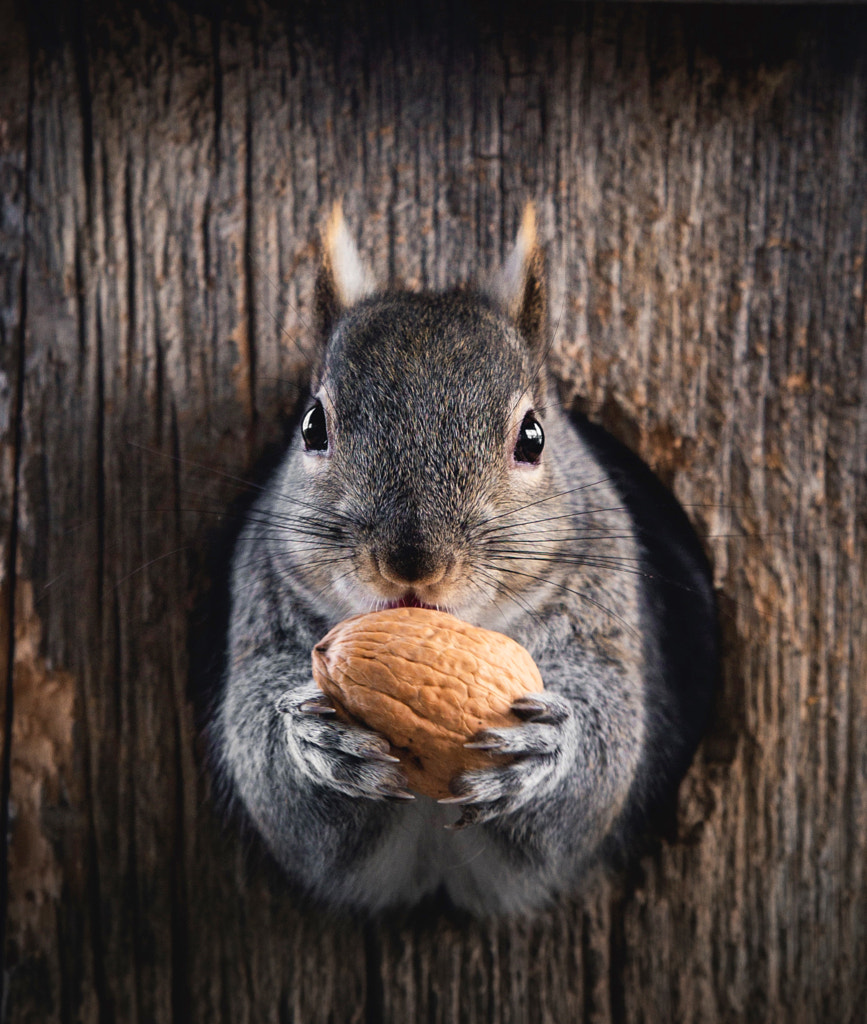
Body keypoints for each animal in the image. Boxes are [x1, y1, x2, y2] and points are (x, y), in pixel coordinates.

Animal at [209, 203, 720, 917]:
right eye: (312, 426)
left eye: (533, 436)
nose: (412, 562)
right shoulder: (261, 607)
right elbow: (280, 790)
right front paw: (314, 743)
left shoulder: (610, 618)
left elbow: (599, 769)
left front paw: (545, 752)